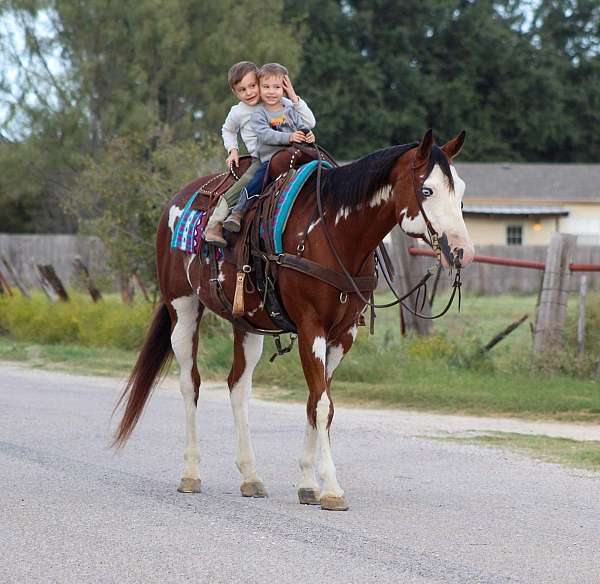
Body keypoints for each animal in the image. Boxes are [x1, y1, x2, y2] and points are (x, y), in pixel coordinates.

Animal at [115, 129, 476, 512]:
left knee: (238, 387)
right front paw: (331, 489)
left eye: (460, 191)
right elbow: (322, 404)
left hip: (246, 324)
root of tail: (178, 199)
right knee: (190, 384)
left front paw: (307, 484)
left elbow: (316, 402)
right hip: (182, 307)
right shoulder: (310, 328)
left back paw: (250, 476)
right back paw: (191, 473)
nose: (463, 252)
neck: (333, 232)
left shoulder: (342, 336)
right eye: (427, 190)